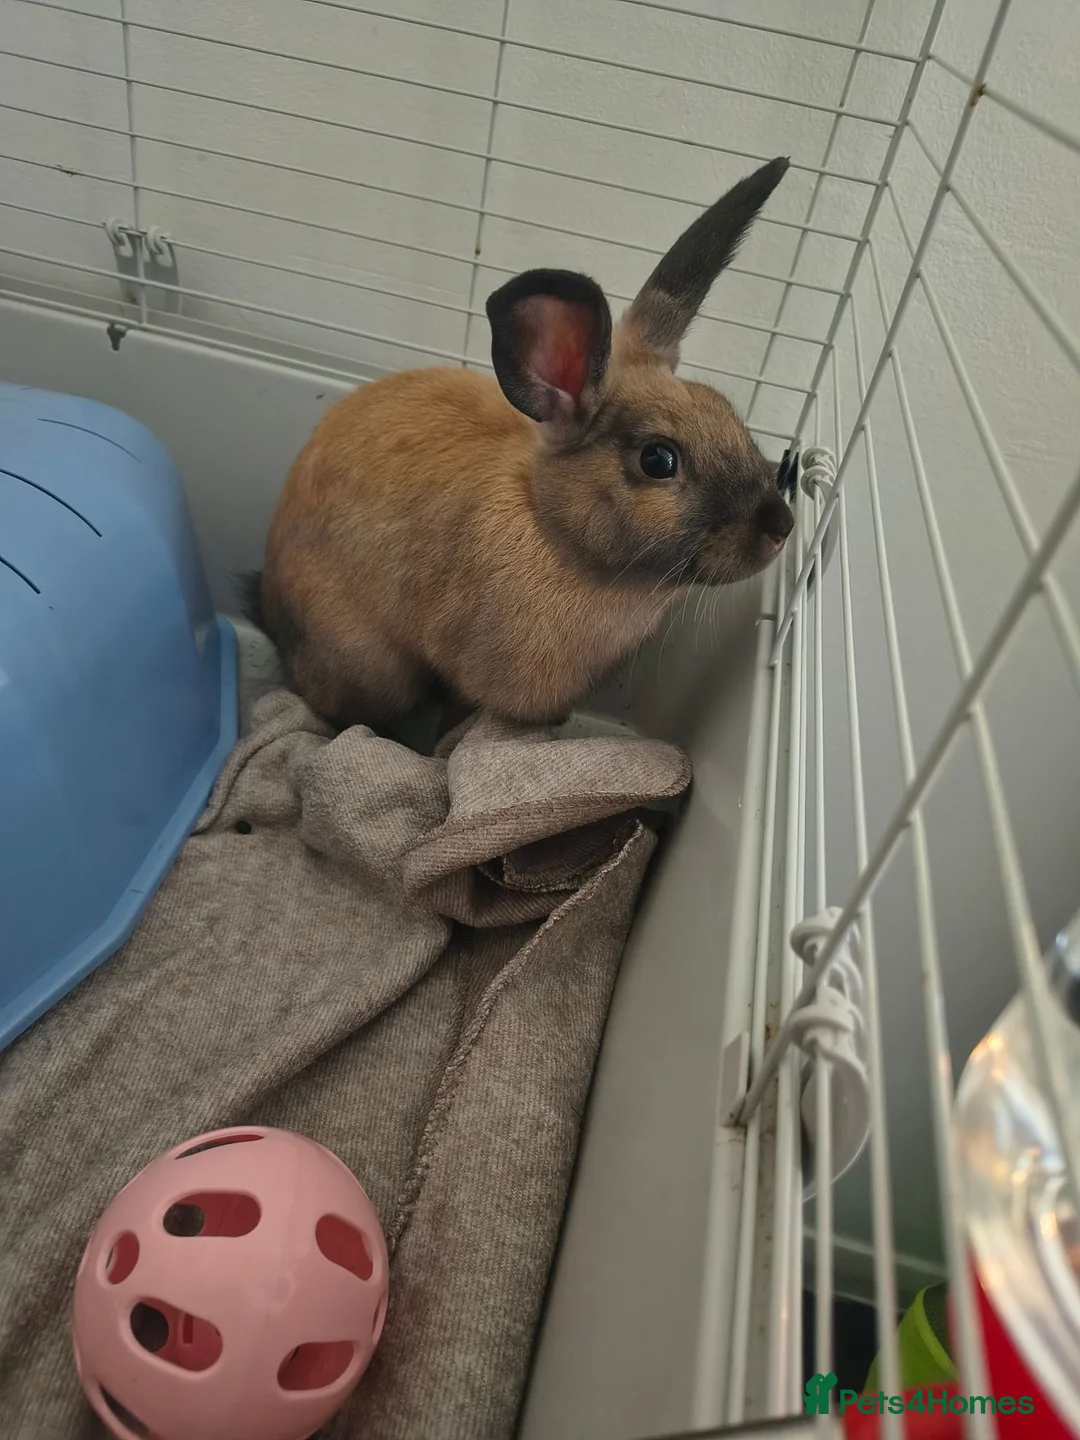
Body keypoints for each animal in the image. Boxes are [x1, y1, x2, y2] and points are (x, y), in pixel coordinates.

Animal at [257, 156, 794, 729]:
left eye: (727, 411)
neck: (554, 532)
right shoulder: (476, 684)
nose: (781, 526)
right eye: (658, 459)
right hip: (373, 673)